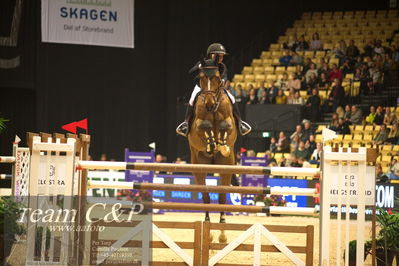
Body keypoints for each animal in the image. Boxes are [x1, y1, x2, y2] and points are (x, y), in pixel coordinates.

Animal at [188, 57, 238, 242]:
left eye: (217, 77)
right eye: (201, 78)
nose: (209, 104)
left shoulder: (229, 121)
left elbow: (225, 125)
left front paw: (221, 145)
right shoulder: (197, 124)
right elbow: (205, 124)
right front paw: (211, 143)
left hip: (226, 167)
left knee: (222, 197)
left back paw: (222, 232)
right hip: (199, 167)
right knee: (206, 197)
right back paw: (208, 228)